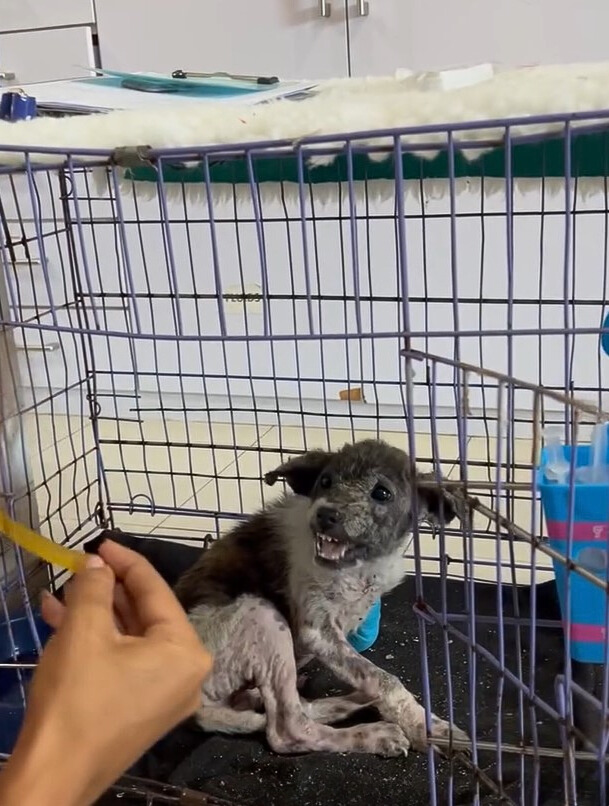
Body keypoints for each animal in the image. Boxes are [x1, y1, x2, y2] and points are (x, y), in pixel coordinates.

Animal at [173, 442, 468, 756]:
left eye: (382, 493)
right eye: (325, 481)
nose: (325, 515)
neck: (360, 567)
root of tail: (189, 712)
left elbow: (370, 676)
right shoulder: (317, 633)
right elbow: (384, 679)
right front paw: (425, 727)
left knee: (284, 706)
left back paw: (349, 702)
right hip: (261, 614)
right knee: (286, 730)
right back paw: (371, 734)